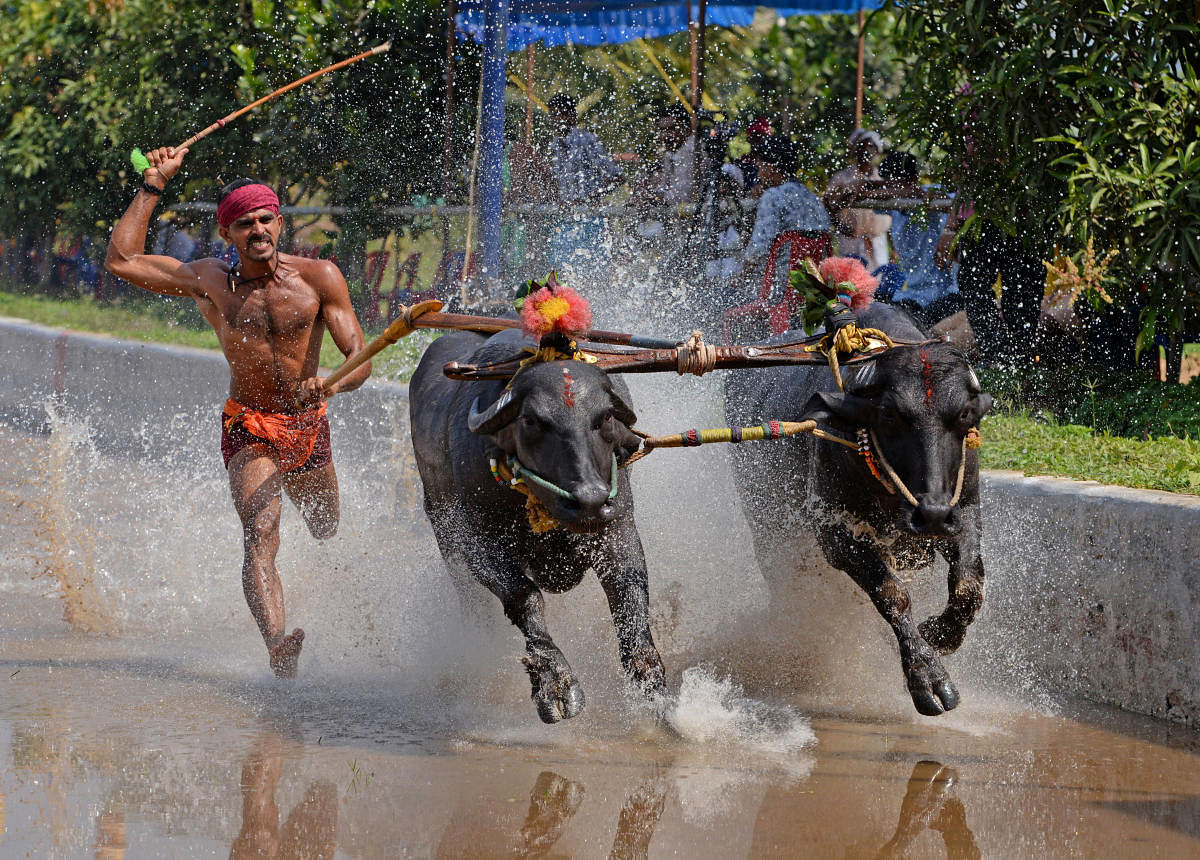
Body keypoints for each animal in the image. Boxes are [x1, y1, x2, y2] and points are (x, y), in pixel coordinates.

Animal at [408, 331, 662, 719]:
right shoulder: (479, 545)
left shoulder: (617, 527)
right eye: (530, 420)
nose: (589, 499)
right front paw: (554, 681)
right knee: (472, 600)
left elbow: (628, 592)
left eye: (604, 417)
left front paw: (655, 687)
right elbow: (524, 596)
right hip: (443, 533)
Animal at [720, 305, 993, 714]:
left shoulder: (965, 513)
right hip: (767, 527)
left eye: (964, 414)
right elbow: (892, 594)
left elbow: (968, 588)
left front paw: (939, 634)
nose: (931, 514)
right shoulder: (835, 535)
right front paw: (926, 675)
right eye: (891, 414)